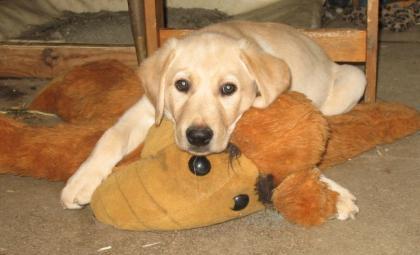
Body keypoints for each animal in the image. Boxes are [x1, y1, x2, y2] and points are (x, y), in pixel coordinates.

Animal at [60, 21, 362, 219]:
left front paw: (332, 193)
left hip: (355, 79)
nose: (198, 137)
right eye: (181, 85)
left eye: (228, 88)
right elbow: (112, 136)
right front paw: (81, 180)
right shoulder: (149, 106)